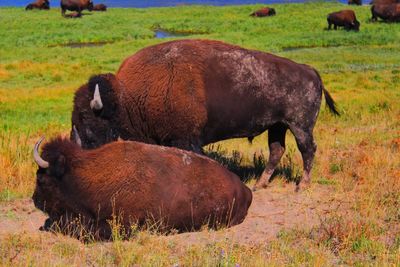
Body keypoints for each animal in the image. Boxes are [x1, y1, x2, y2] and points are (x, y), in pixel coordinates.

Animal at [70, 38, 340, 192]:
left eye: (86, 117)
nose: (78, 151)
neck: (127, 97)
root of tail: (310, 71)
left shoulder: (187, 139)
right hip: (277, 126)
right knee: (276, 150)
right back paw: (260, 184)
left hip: (299, 125)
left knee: (307, 149)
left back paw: (302, 185)